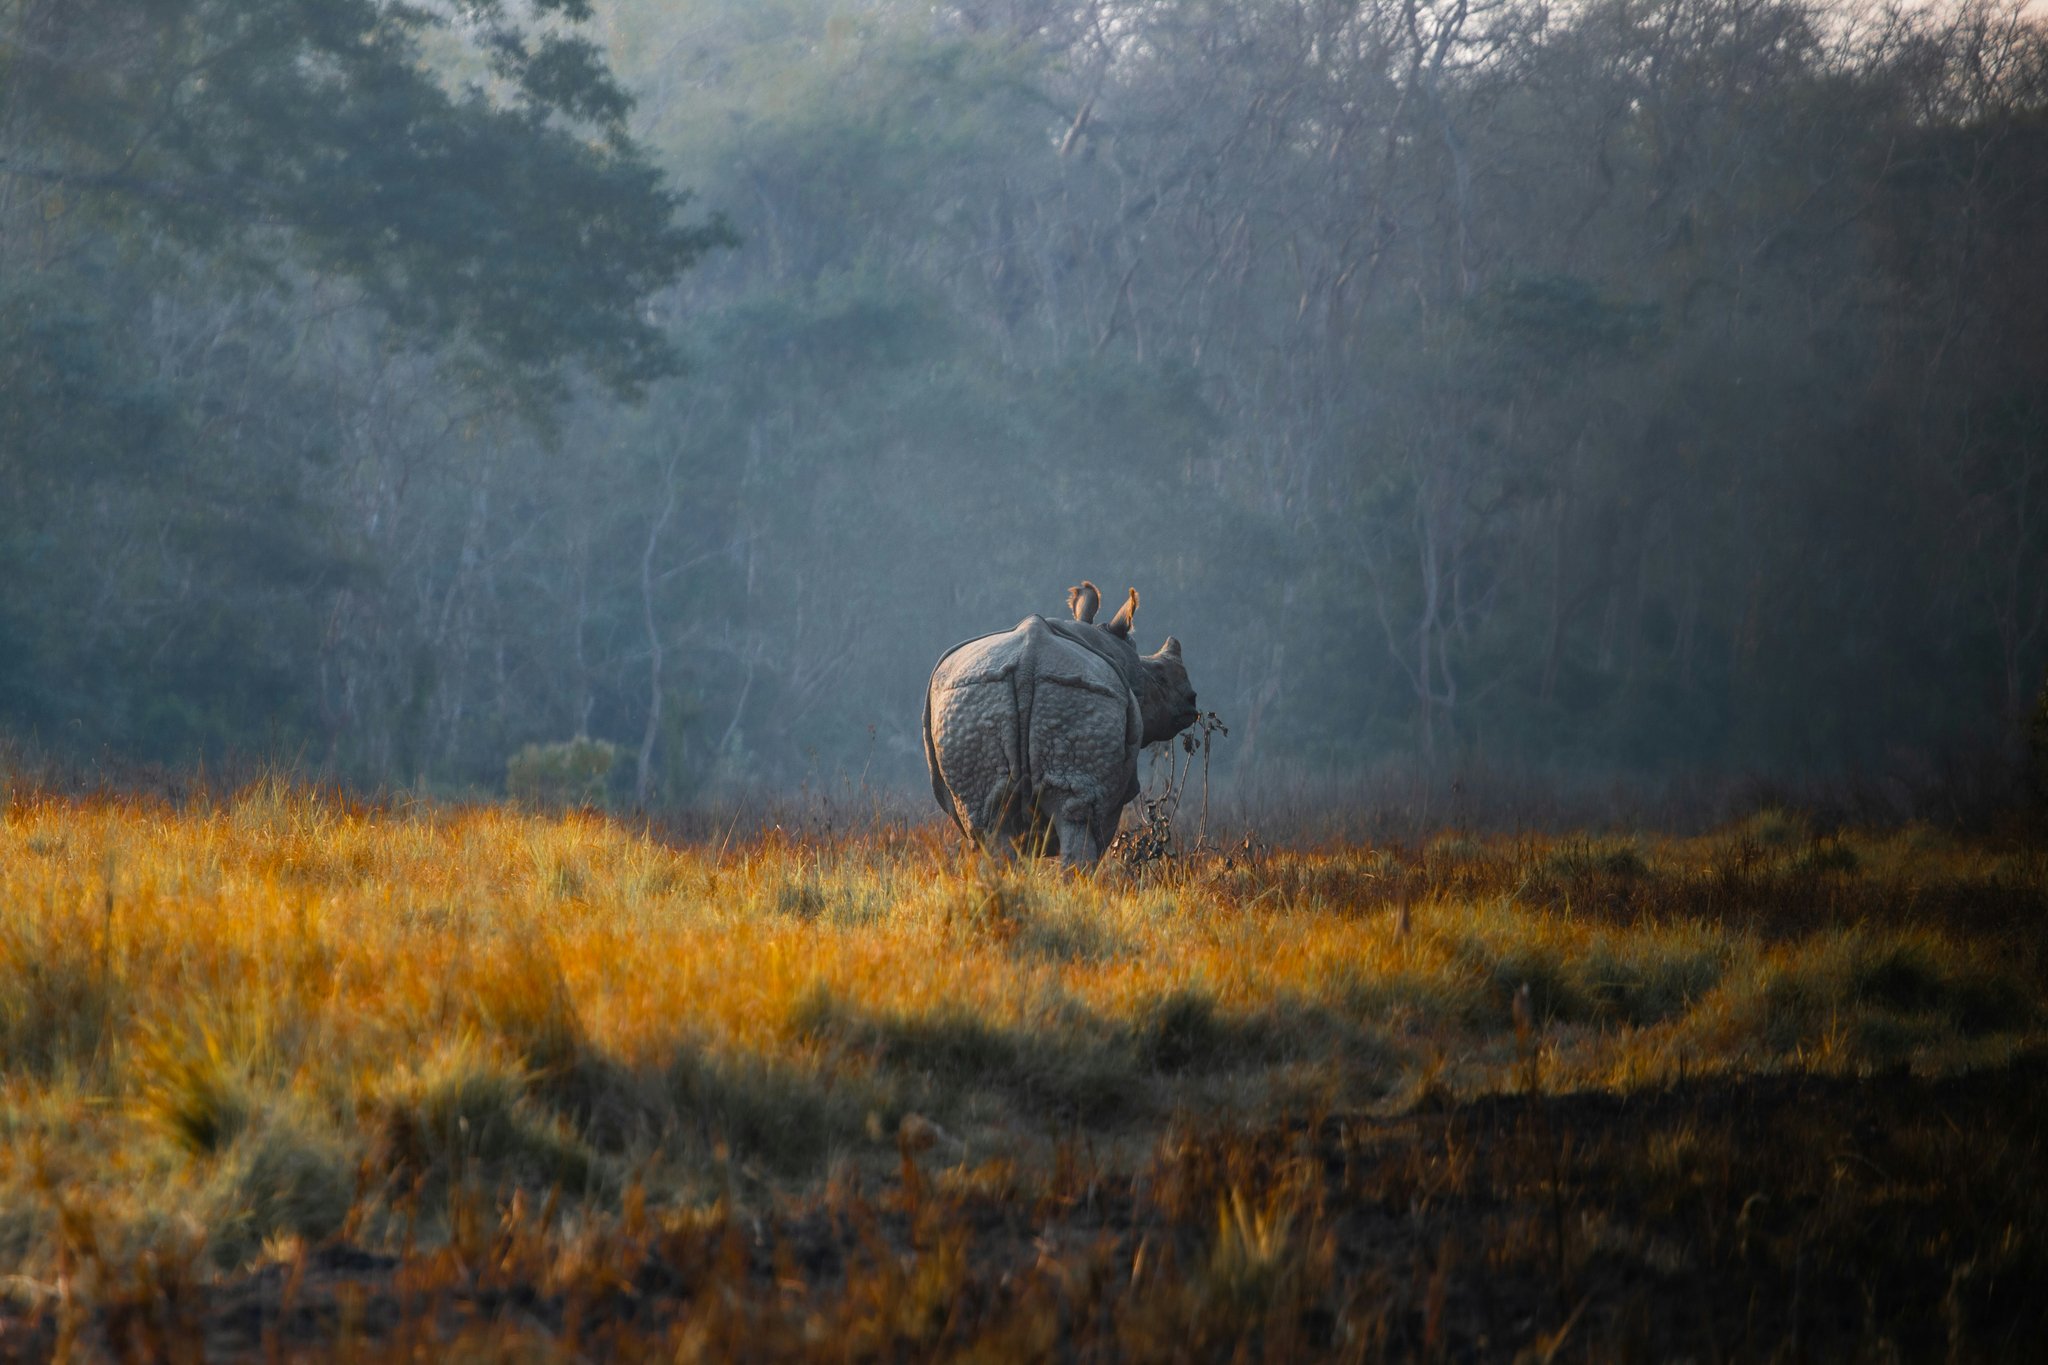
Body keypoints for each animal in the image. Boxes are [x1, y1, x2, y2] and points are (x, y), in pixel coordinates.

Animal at [923, 581, 1199, 866]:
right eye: (1161, 680)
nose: (1191, 701)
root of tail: (1028, 662)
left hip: (973, 700)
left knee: (989, 823)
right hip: (1081, 694)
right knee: (1078, 821)